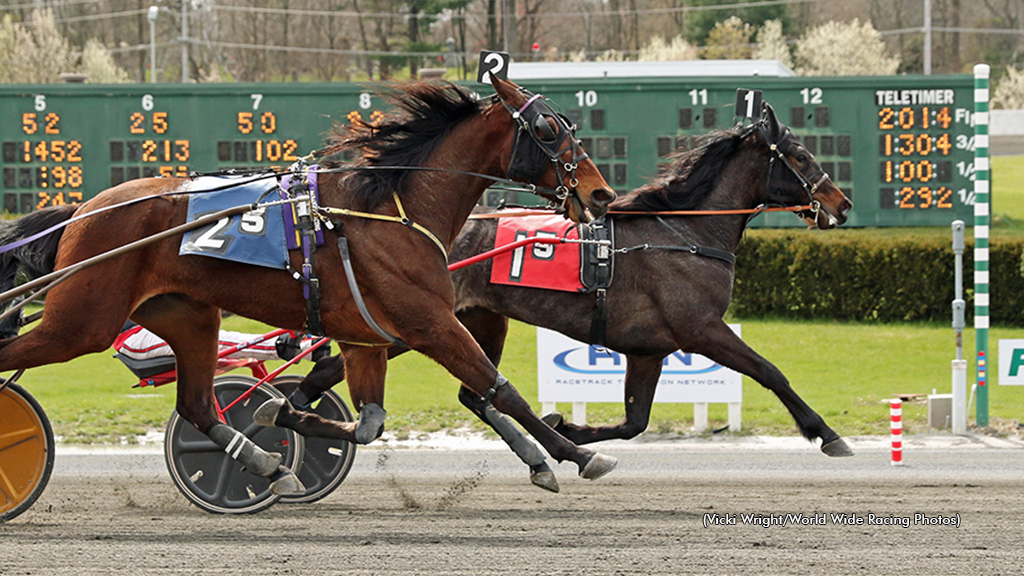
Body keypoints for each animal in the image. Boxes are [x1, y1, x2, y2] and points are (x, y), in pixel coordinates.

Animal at [0, 76, 614, 496]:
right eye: (548, 129)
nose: (601, 193)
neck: (390, 209)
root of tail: (85, 209)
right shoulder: (430, 323)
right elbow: (501, 390)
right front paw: (578, 456)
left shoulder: (367, 338)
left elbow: (366, 423)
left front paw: (278, 417)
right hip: (81, 320)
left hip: (188, 316)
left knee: (197, 405)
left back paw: (269, 466)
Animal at [260, 101, 851, 487]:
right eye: (800, 156)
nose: (841, 204)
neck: (682, 233)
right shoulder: (701, 328)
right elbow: (771, 372)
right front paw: (826, 434)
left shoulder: (649, 348)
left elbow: (634, 423)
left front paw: (563, 426)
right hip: (417, 323)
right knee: (330, 372)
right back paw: (285, 417)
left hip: (472, 320)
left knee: (465, 392)